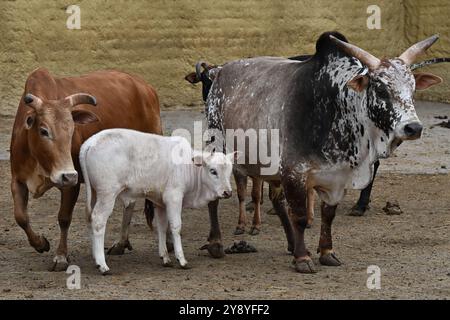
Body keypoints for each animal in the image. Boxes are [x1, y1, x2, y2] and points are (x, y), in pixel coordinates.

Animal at [9, 67, 162, 270]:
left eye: (72, 130)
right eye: (43, 130)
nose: (67, 175)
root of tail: (146, 87)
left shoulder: (71, 184)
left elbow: (64, 218)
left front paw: (60, 257)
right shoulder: (17, 180)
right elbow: (21, 217)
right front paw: (40, 243)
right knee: (129, 202)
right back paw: (121, 244)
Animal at [80, 129, 236, 274]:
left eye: (229, 171)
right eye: (213, 171)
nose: (227, 192)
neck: (187, 165)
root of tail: (90, 142)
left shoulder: (160, 202)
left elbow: (161, 226)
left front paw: (165, 257)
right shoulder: (174, 198)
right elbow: (175, 227)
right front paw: (181, 260)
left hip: (94, 193)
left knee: (90, 219)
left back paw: (95, 258)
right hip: (107, 194)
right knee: (98, 220)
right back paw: (103, 265)